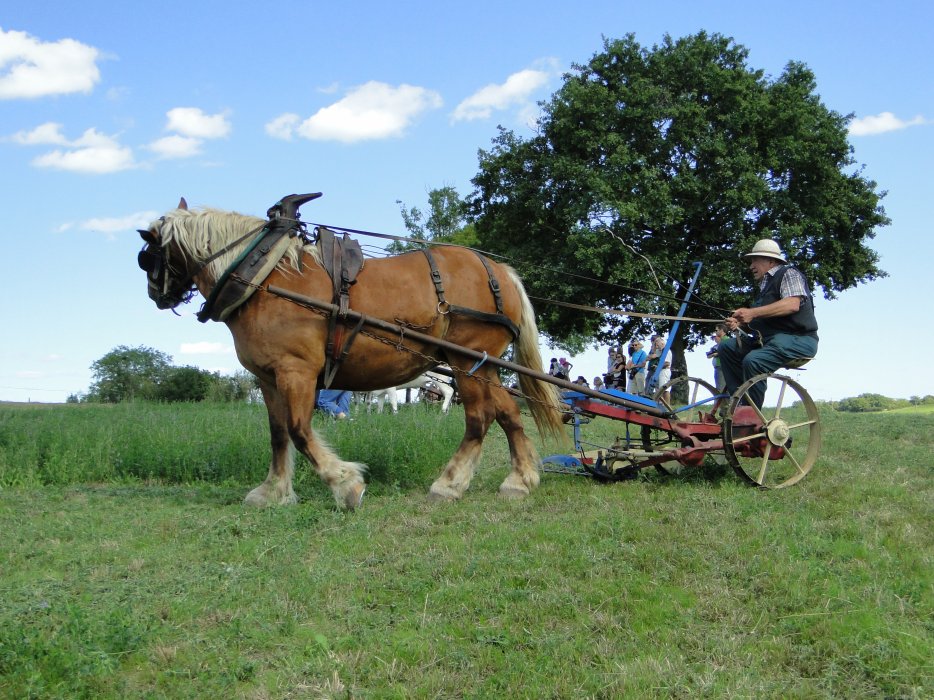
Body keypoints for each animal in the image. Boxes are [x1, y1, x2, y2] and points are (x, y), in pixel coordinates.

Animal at [138, 197, 564, 508]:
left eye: (147, 257)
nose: (155, 295)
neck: (266, 277)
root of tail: (499, 270)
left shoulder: (296, 372)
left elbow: (300, 431)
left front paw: (345, 484)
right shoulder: (268, 378)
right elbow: (278, 434)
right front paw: (273, 491)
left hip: (466, 361)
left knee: (479, 418)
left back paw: (449, 483)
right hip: (484, 366)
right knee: (508, 413)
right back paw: (520, 479)